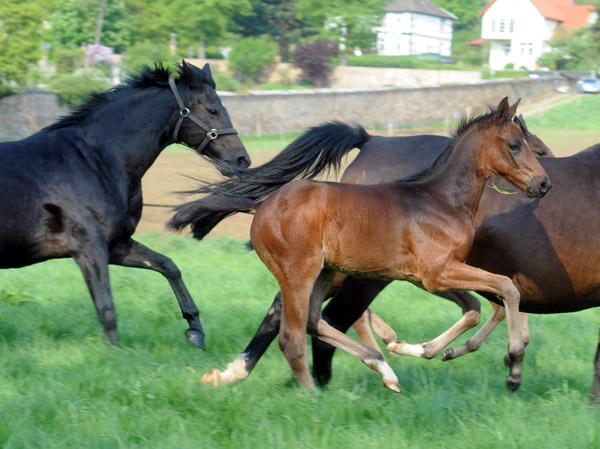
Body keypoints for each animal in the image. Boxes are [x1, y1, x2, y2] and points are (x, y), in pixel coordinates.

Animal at [0, 60, 248, 346]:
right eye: (213, 109)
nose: (242, 159)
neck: (97, 160)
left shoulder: (117, 245)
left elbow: (168, 266)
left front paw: (195, 329)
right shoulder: (88, 248)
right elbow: (106, 308)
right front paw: (113, 351)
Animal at [171, 97, 552, 388]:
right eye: (516, 145)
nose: (544, 184)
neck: (441, 199)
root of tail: (260, 205)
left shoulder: (426, 277)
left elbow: (479, 305)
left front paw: (420, 349)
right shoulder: (438, 273)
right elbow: (506, 288)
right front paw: (514, 361)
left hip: (326, 272)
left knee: (313, 320)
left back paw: (382, 368)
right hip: (300, 273)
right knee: (293, 333)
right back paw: (312, 391)